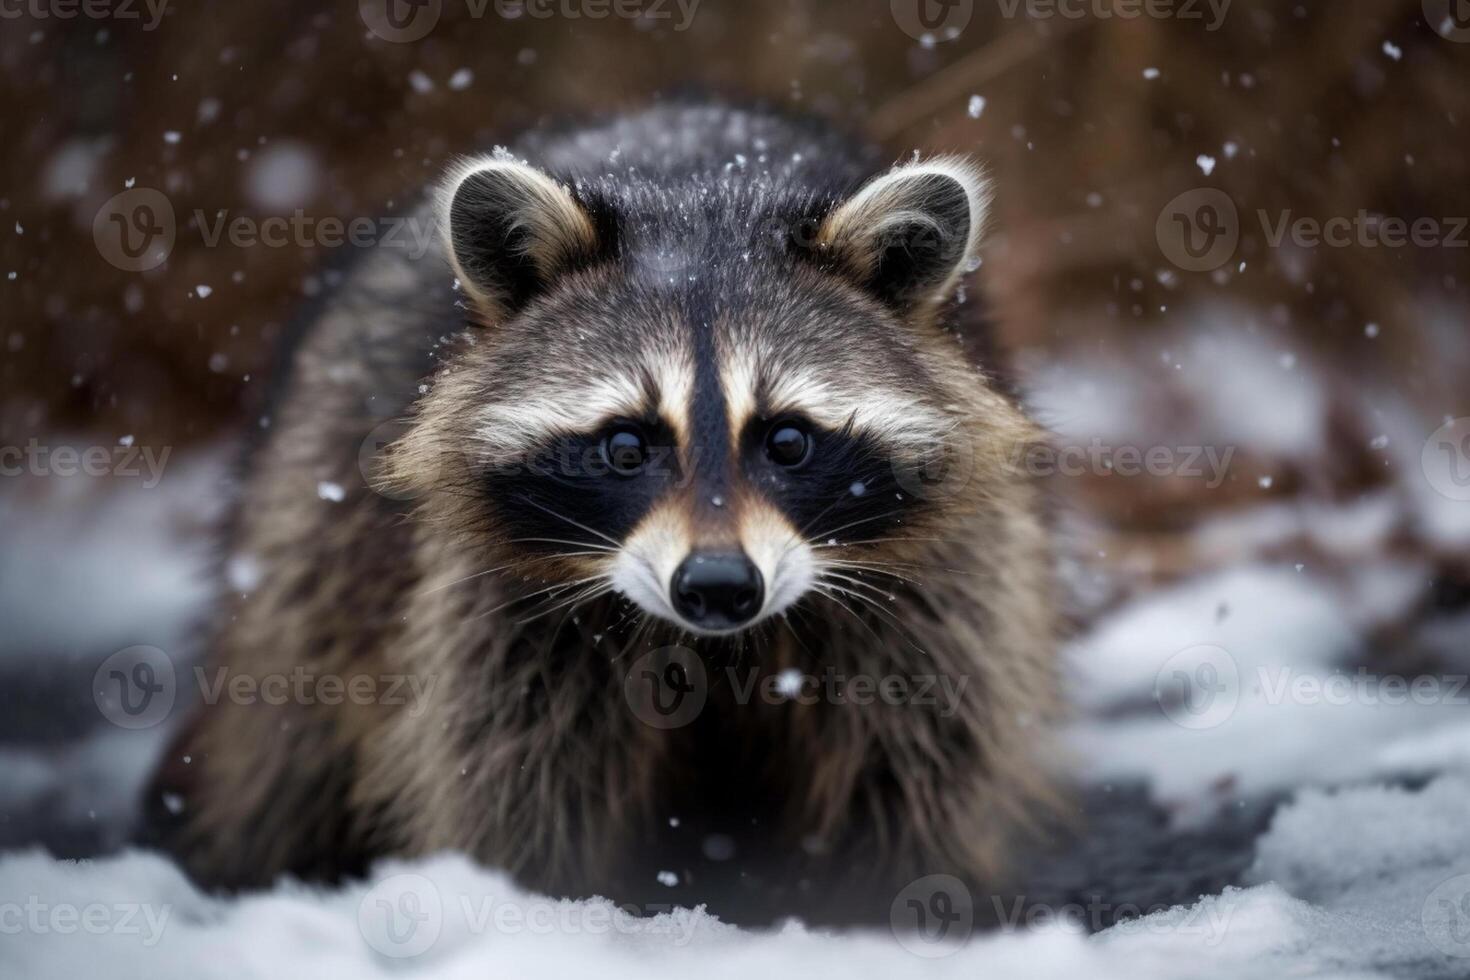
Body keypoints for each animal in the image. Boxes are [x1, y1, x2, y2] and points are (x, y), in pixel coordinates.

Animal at [146, 103, 1058, 934]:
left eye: (789, 439)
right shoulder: (502, 615)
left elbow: (914, 763)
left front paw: (876, 910)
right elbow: (515, 781)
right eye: (625, 445)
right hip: (308, 538)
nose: (718, 586)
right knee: (288, 751)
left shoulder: (932, 595)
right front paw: (546, 911)